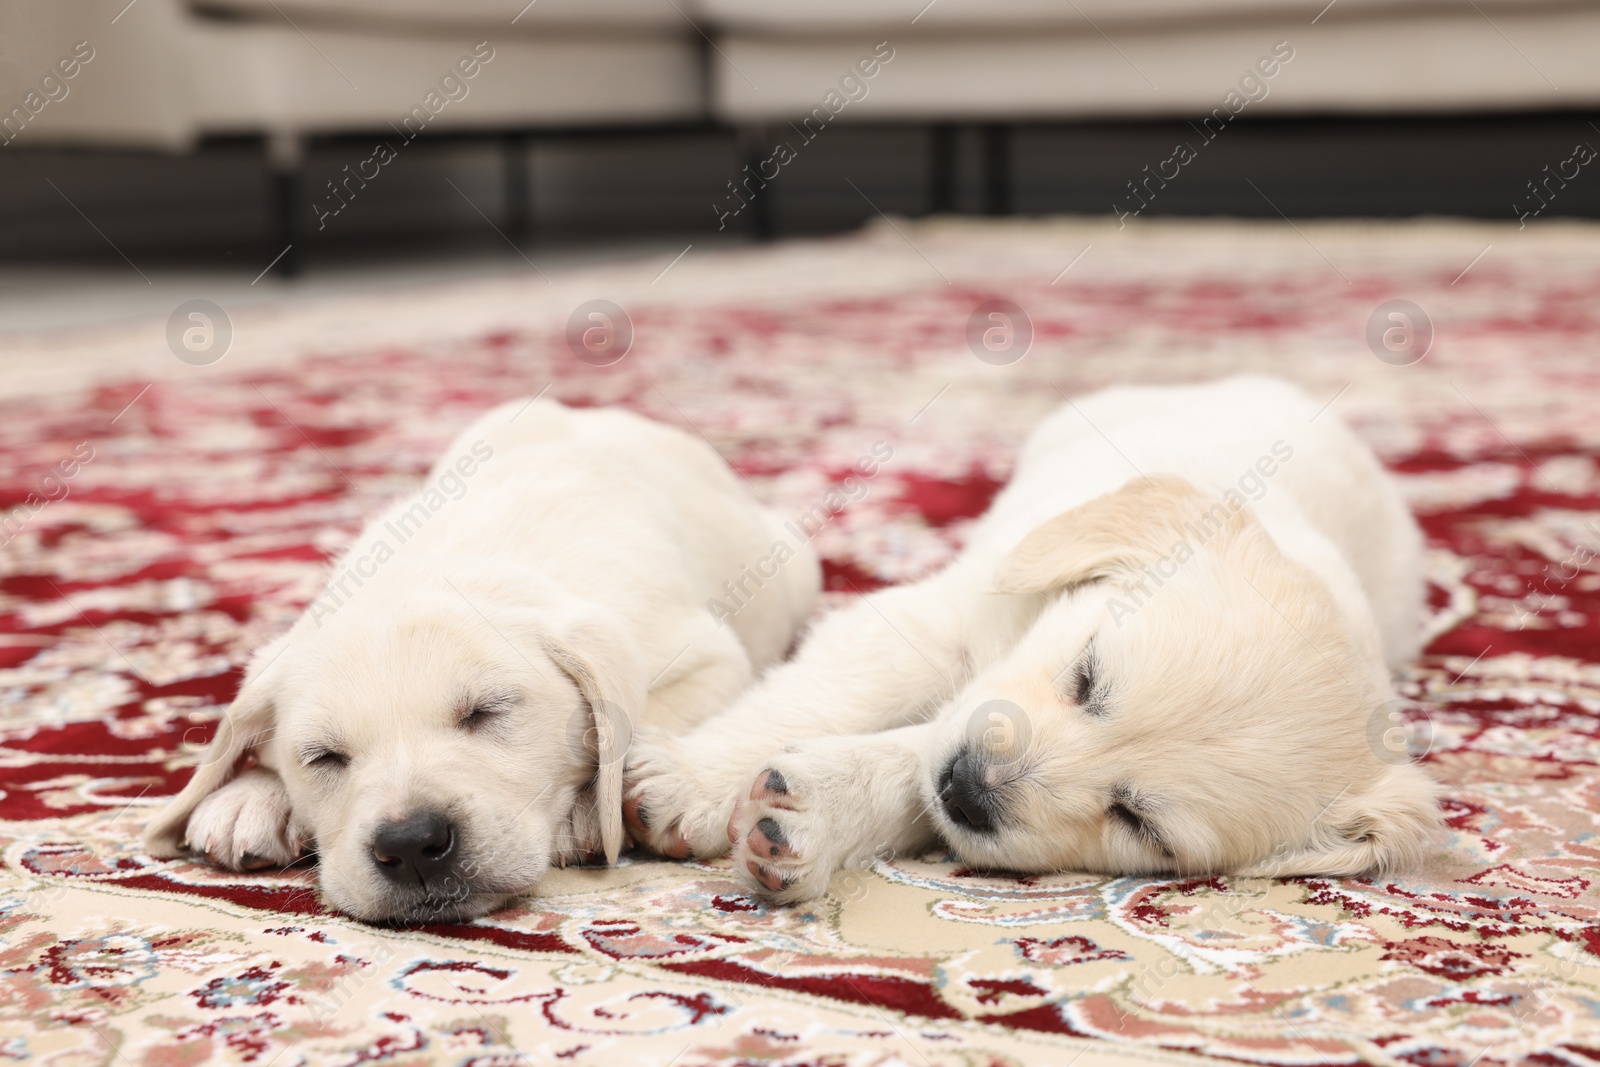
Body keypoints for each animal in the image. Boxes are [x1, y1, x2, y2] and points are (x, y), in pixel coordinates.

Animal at [144, 399, 819, 927]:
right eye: (324, 758)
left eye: (487, 712)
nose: (411, 845)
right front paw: (252, 796)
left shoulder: (707, 658)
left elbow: (641, 722)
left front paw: (585, 814)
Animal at [624, 375, 1440, 902]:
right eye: (1087, 675)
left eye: (1140, 824)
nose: (966, 788)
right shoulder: (936, 621)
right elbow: (821, 695)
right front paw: (691, 782)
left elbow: (907, 763)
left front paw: (809, 818)